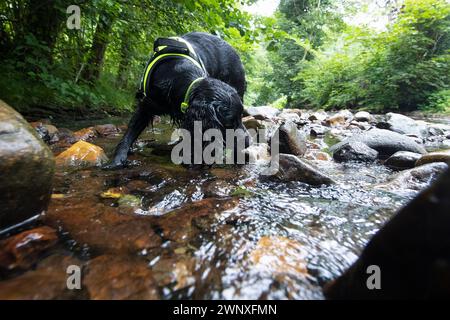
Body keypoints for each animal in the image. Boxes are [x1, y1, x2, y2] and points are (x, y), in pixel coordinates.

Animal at [107, 31, 251, 169]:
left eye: (240, 117)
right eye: (228, 124)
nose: (249, 142)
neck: (174, 77)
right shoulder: (145, 106)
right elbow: (129, 134)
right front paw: (117, 160)